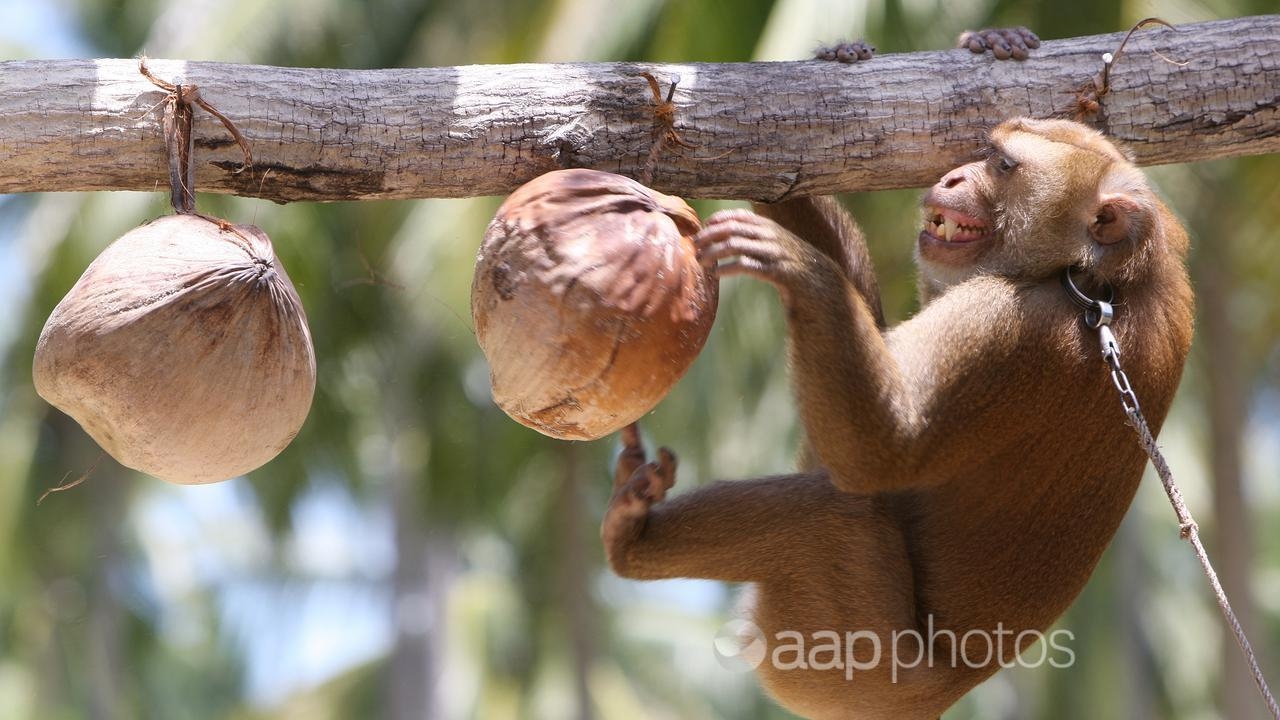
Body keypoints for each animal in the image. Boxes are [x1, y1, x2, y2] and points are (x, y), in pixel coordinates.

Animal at [600, 51, 1193, 720]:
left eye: (1002, 164)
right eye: (985, 151)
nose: (954, 176)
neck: (1102, 283)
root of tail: (937, 694)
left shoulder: (1010, 324)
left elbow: (882, 451)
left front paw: (803, 271)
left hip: (842, 653)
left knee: (833, 509)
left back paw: (633, 545)